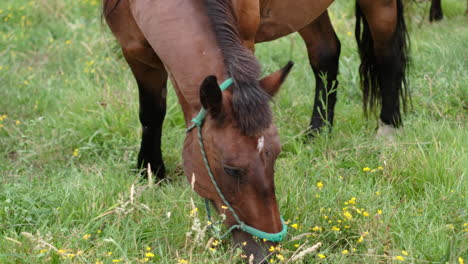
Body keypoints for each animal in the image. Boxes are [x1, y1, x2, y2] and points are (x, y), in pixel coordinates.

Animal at [103, 0, 410, 262]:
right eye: (231, 169)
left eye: (275, 158)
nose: (267, 252)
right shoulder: (134, 49)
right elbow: (152, 111)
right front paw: (150, 171)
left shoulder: (244, 38)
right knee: (326, 52)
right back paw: (317, 132)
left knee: (387, 52)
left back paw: (388, 127)